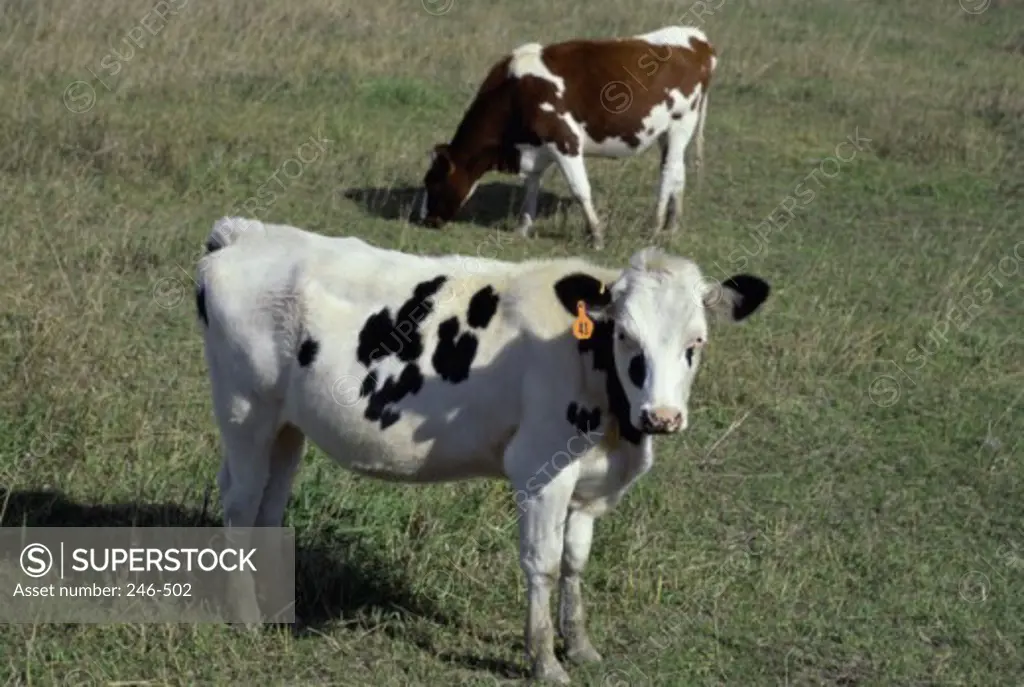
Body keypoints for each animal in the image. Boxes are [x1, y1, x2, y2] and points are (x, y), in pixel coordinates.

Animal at [411, 28, 716, 252]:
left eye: (433, 181)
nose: (424, 220)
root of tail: (698, 39)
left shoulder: (564, 140)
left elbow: (580, 190)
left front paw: (596, 237)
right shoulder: (535, 149)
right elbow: (531, 187)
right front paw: (523, 229)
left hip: (681, 124)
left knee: (668, 173)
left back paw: (655, 227)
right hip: (668, 133)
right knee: (678, 173)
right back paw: (671, 227)